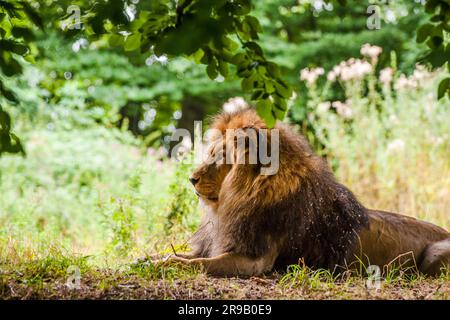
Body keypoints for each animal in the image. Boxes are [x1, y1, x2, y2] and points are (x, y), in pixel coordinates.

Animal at [156, 109, 450, 276]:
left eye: (222, 157)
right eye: (211, 153)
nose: (191, 179)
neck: (236, 200)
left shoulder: (255, 261)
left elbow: (199, 264)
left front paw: (166, 266)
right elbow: (183, 255)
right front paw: (152, 260)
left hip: (434, 256)